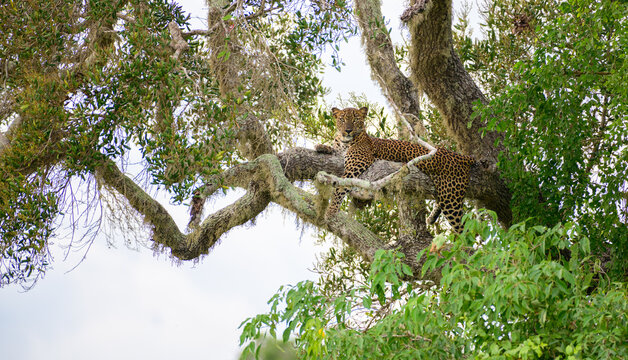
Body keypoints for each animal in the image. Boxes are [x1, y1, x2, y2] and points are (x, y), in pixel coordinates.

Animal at [316, 105, 474, 232]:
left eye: (355, 119)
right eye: (342, 119)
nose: (348, 130)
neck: (344, 141)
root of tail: (459, 155)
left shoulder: (354, 167)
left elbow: (339, 189)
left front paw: (330, 211)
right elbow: (333, 150)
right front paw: (322, 147)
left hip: (451, 197)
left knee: (464, 230)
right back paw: (432, 217)